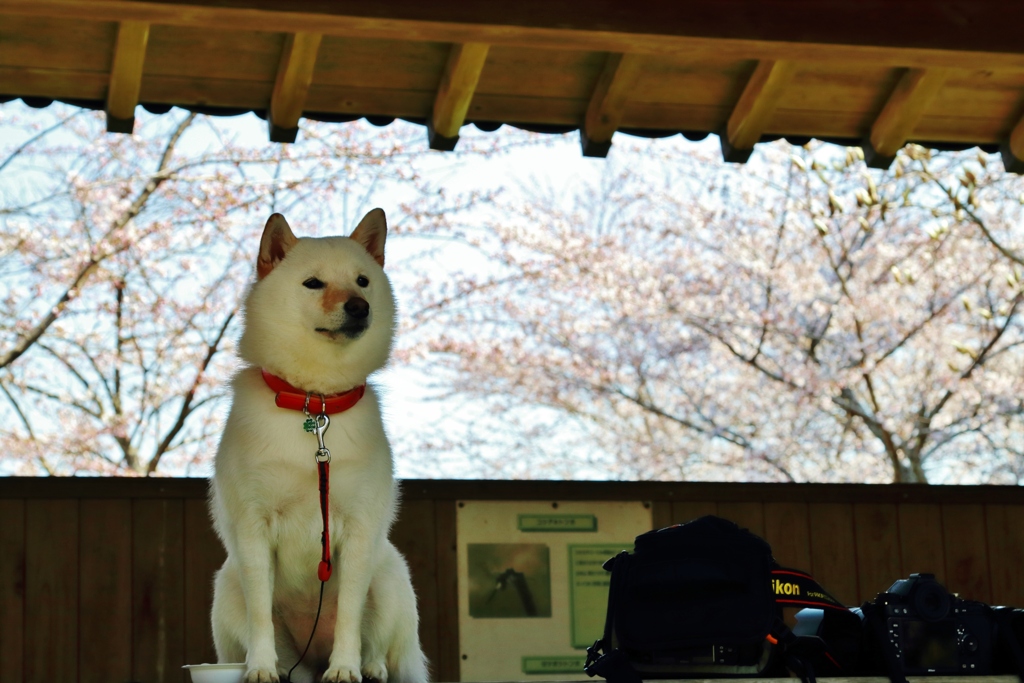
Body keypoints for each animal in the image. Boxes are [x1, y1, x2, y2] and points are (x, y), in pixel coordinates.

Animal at [209, 209, 425, 683]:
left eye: (363, 281)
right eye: (313, 283)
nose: (360, 306)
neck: (315, 403)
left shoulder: (359, 531)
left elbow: (348, 615)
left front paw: (344, 667)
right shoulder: (253, 528)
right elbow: (260, 617)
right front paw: (261, 668)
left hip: (389, 575)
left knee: (378, 643)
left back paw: (371, 667)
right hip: (227, 584)